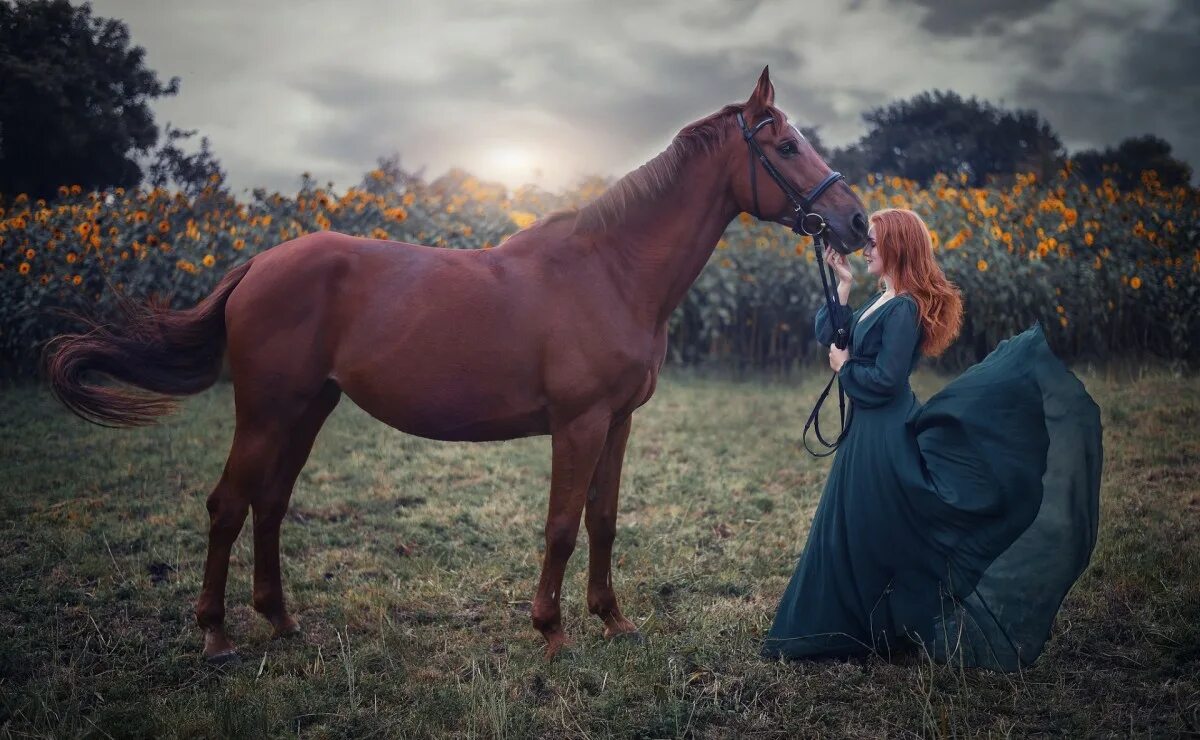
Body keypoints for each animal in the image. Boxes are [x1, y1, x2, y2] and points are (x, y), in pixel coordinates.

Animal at [46, 66, 868, 662]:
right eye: (785, 148)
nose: (857, 222)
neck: (610, 270)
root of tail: (258, 265)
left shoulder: (618, 423)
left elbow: (602, 520)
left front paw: (614, 622)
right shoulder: (578, 424)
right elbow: (562, 525)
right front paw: (552, 631)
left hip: (309, 408)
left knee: (270, 504)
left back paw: (281, 621)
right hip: (268, 410)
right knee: (227, 505)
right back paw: (216, 634)